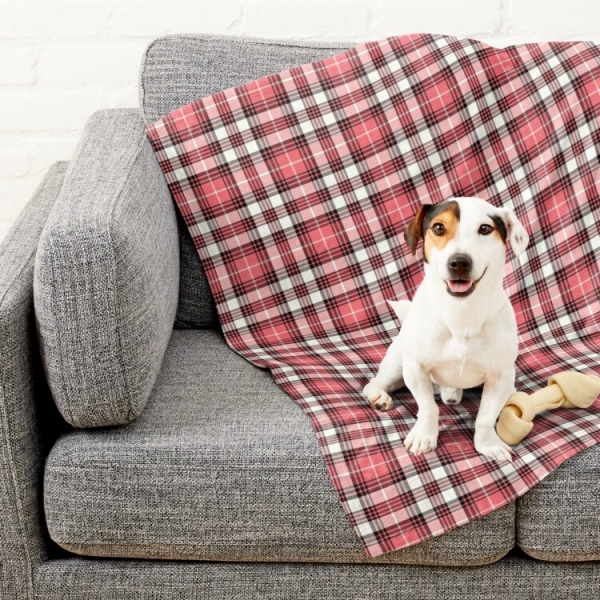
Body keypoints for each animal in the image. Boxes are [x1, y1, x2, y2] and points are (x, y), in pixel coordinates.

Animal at [364, 199, 528, 462]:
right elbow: (428, 408)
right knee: (374, 382)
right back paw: (378, 396)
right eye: (438, 228)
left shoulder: (501, 375)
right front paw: (424, 437)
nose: (459, 262)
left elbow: (486, 417)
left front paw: (488, 444)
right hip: (397, 364)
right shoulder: (416, 368)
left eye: (485, 228)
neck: (461, 314)